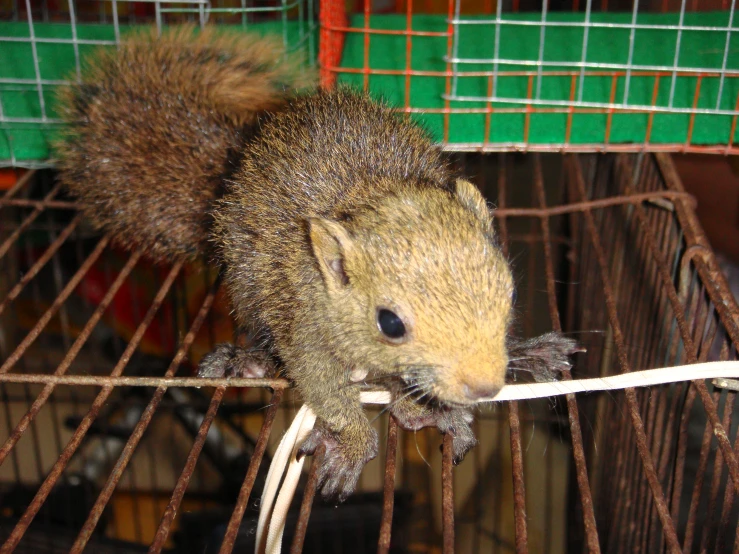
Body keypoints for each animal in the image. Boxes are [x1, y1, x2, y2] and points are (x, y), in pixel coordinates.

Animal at [56, 24, 580, 500]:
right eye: (389, 323)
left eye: (510, 292)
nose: (484, 386)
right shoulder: (304, 321)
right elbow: (322, 383)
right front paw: (354, 445)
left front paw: (438, 396)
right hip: (250, 289)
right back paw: (248, 361)